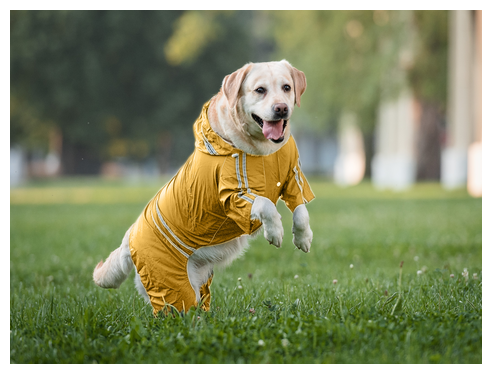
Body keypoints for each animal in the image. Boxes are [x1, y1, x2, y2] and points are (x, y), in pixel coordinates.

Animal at [92, 60, 316, 314]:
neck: (262, 151)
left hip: (200, 280)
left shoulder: (293, 177)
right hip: (173, 287)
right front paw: (275, 232)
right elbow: (266, 204)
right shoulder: (233, 197)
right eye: (260, 90)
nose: (281, 108)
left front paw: (303, 238)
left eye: (287, 87)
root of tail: (129, 239)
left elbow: (300, 210)